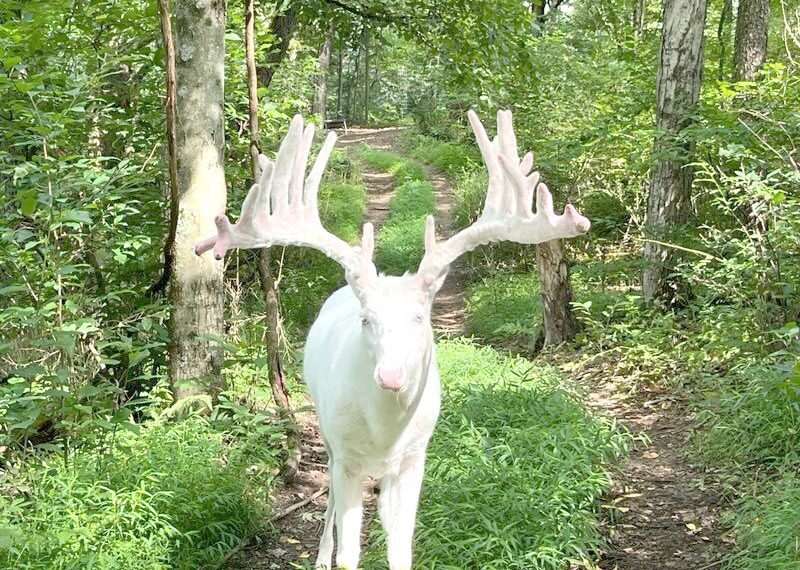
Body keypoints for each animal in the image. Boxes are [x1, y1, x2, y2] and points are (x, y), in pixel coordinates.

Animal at [194, 109, 590, 570]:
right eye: (367, 320)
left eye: (421, 317)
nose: (391, 376)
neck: (385, 432)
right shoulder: (346, 454)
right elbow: (349, 552)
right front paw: (332, 555)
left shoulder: (416, 456)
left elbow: (402, 549)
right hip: (326, 433)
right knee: (330, 501)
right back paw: (320, 555)